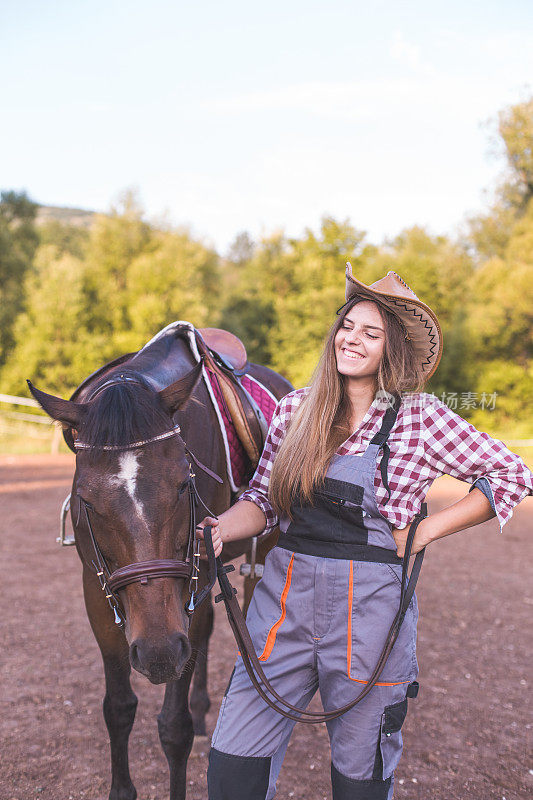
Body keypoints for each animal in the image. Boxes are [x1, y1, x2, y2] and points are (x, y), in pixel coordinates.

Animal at [29, 324, 290, 800]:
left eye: (184, 483)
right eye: (86, 501)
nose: (159, 651)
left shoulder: (191, 587)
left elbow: (173, 727)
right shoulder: (97, 589)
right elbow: (118, 707)